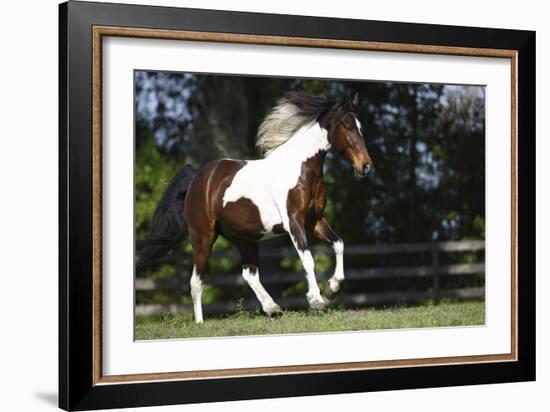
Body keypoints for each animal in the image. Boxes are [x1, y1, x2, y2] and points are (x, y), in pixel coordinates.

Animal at [137, 90, 376, 322]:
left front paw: (331, 289)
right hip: (203, 237)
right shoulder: (294, 222)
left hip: (244, 238)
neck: (300, 170)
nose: (365, 166)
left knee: (248, 274)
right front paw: (316, 300)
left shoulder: (314, 220)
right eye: (347, 125)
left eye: (361, 127)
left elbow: (339, 244)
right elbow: (308, 259)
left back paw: (273, 308)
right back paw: (200, 323)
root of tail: (197, 180)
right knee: (196, 282)